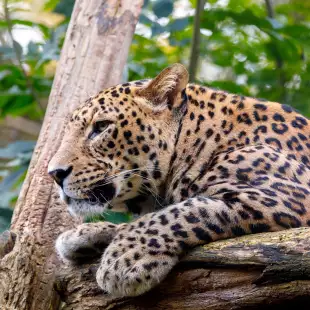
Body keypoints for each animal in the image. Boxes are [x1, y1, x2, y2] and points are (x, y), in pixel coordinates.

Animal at [47, 63, 310, 298]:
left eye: (101, 126)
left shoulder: (286, 194)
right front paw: (83, 235)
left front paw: (126, 257)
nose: (55, 173)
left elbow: (183, 211)